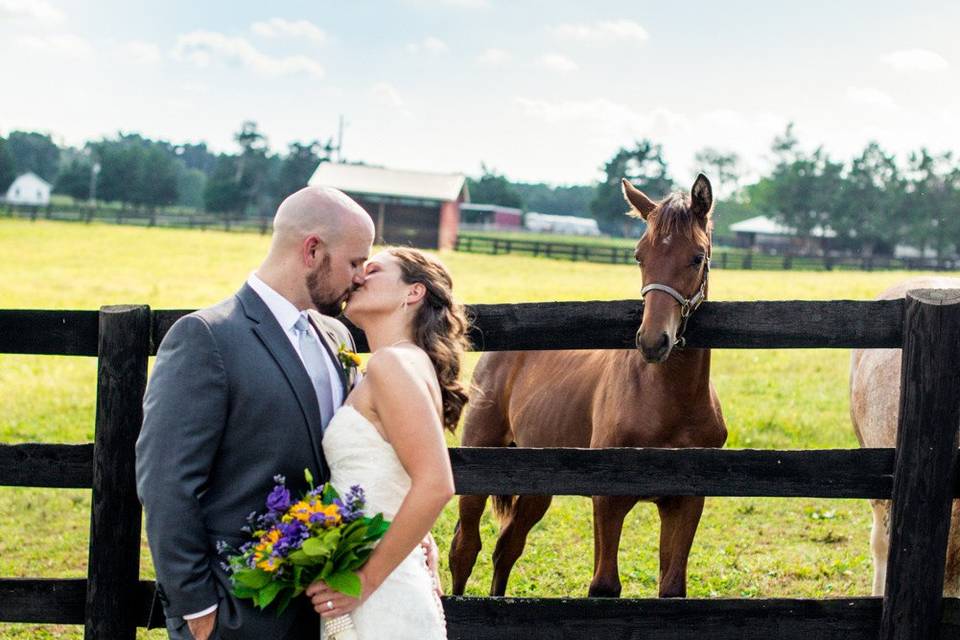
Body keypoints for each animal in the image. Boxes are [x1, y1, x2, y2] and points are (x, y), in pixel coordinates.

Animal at [450, 172, 728, 596]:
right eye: (639, 255)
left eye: (697, 257)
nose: (653, 341)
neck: (669, 400)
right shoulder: (607, 497)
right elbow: (604, 586)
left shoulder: (686, 501)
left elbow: (671, 587)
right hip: (480, 457)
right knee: (466, 546)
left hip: (537, 482)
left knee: (507, 546)